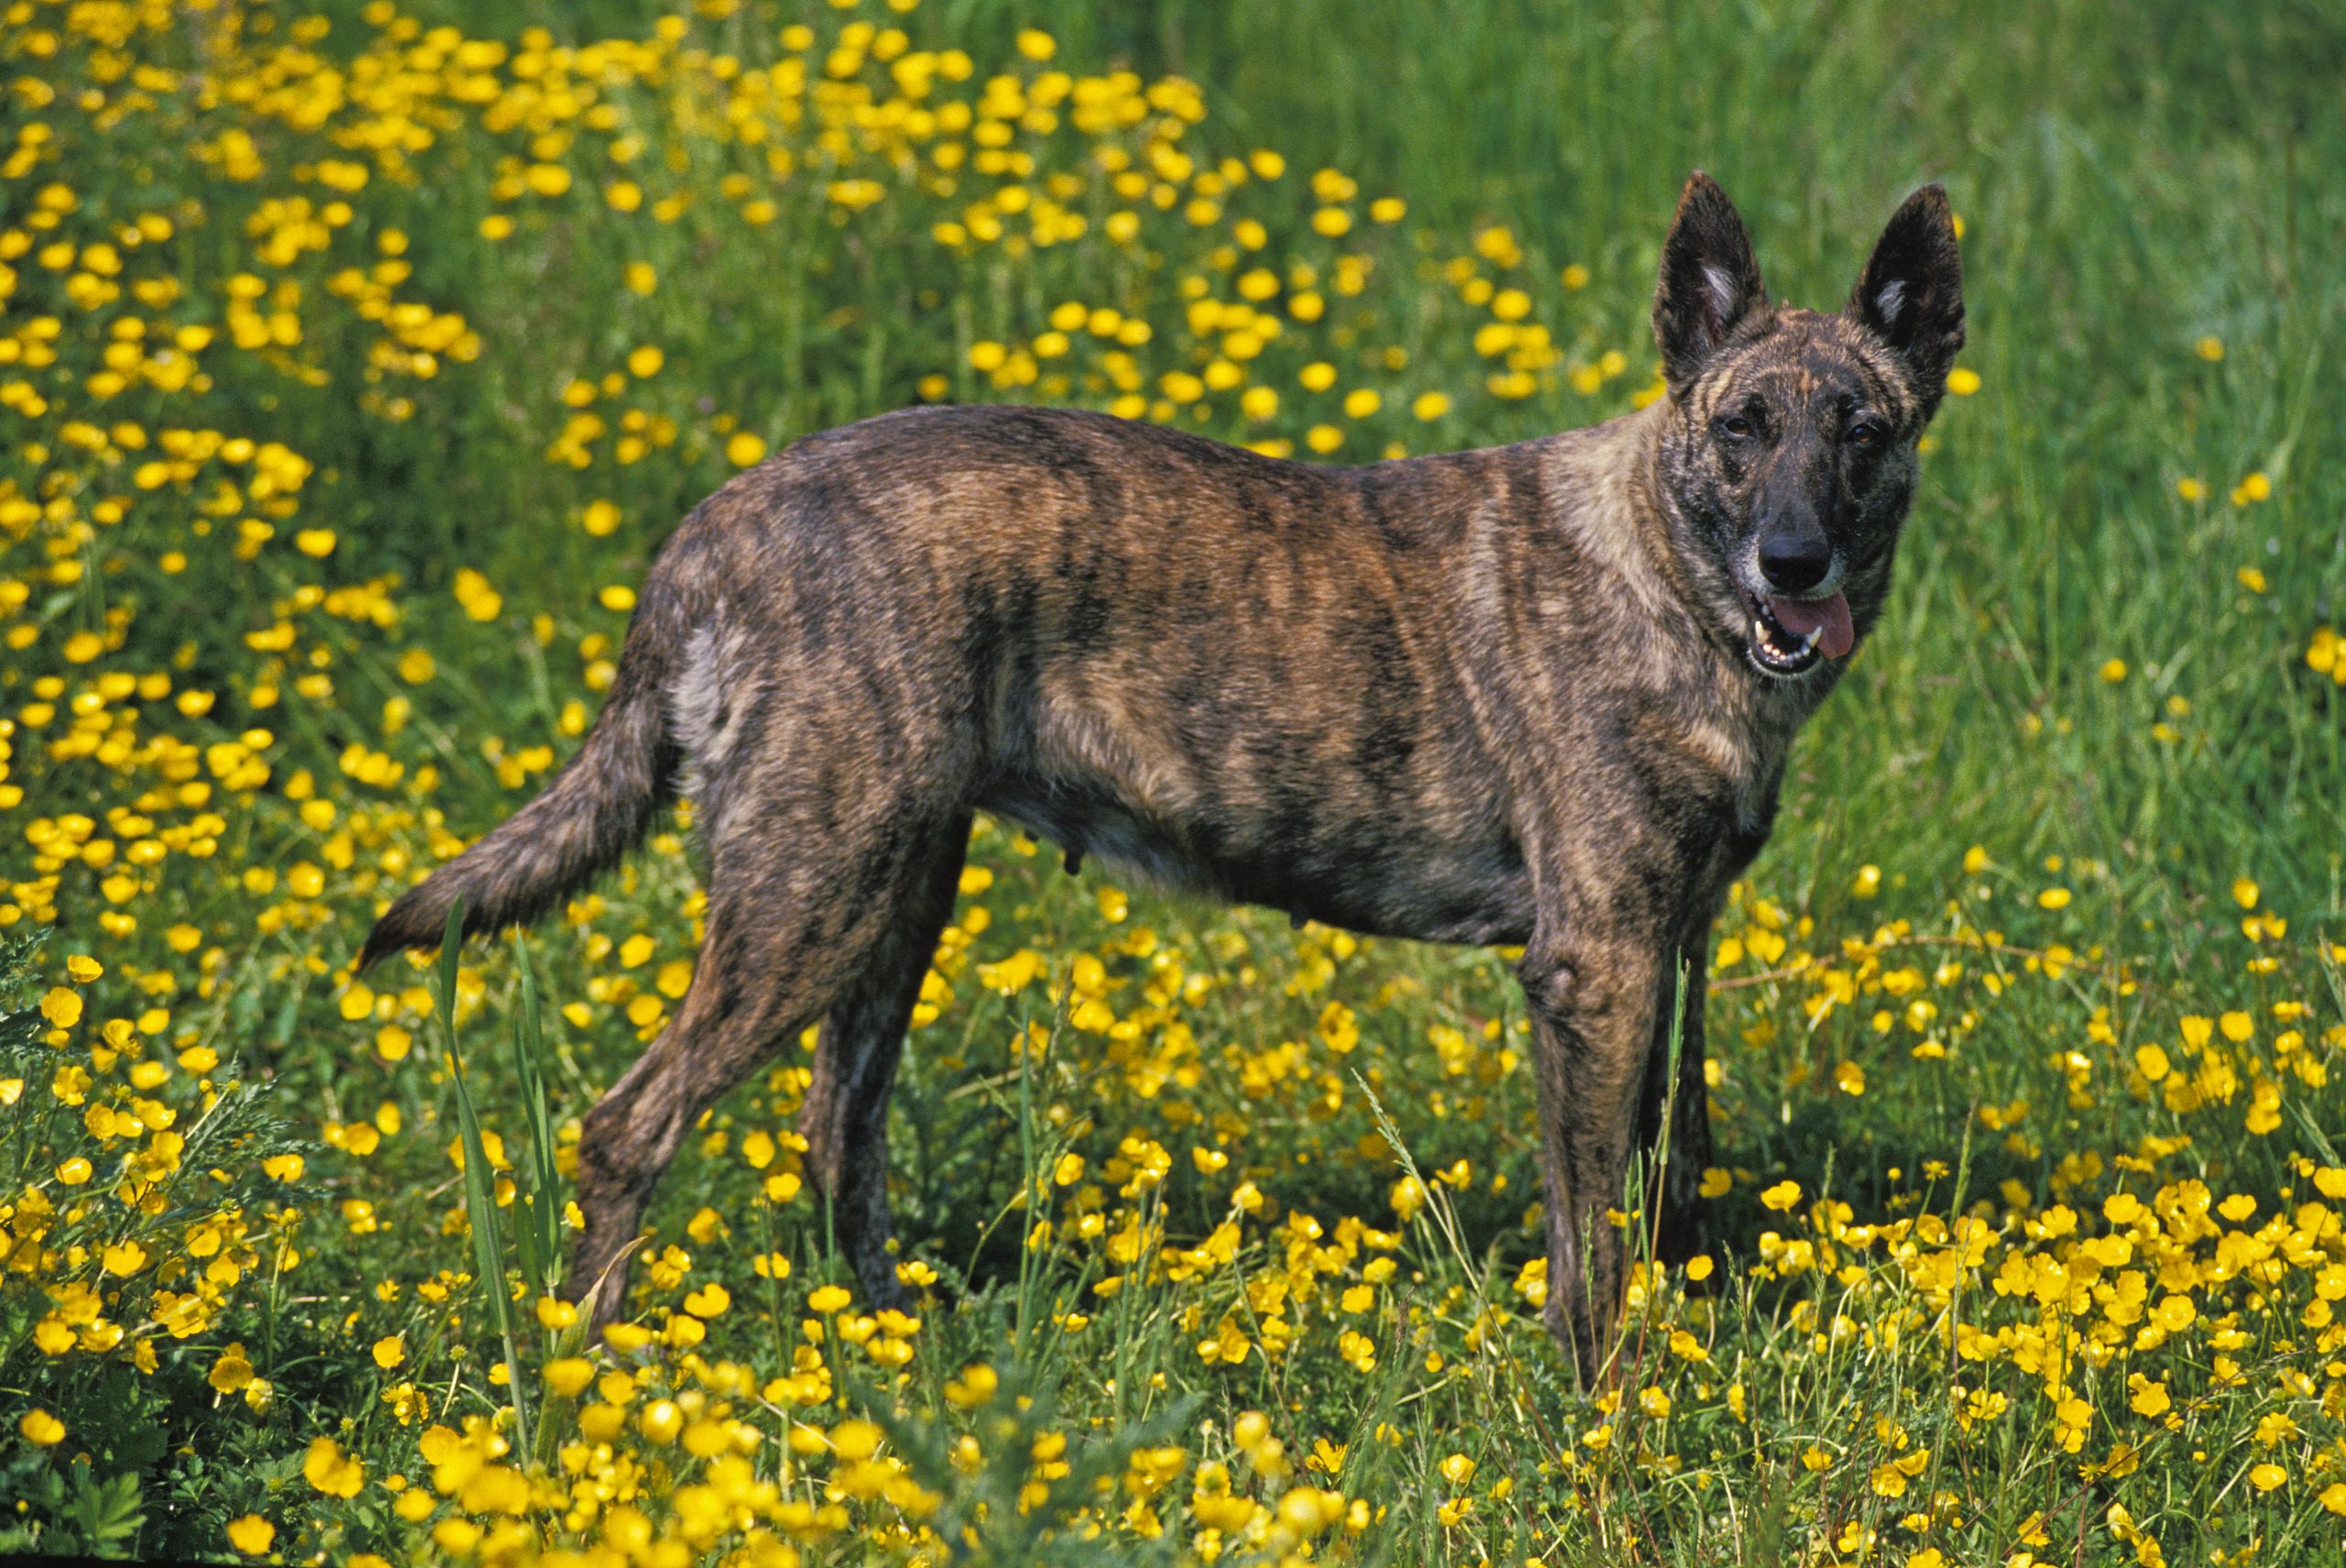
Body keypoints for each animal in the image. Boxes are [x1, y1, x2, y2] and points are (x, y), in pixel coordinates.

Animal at [361, 169, 1961, 1370]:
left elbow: (1657, 1169)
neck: (1668, 574)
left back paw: (890, 1348)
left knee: (835, 1131)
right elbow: (1593, 1241)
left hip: (892, 898)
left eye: (1863, 433)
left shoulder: (1666, 950)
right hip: (810, 899)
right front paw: (1607, 1415)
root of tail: (712, 528)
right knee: (630, 1126)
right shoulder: (1597, 967)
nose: (1796, 564)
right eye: (1742, 430)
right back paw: (593, 1383)